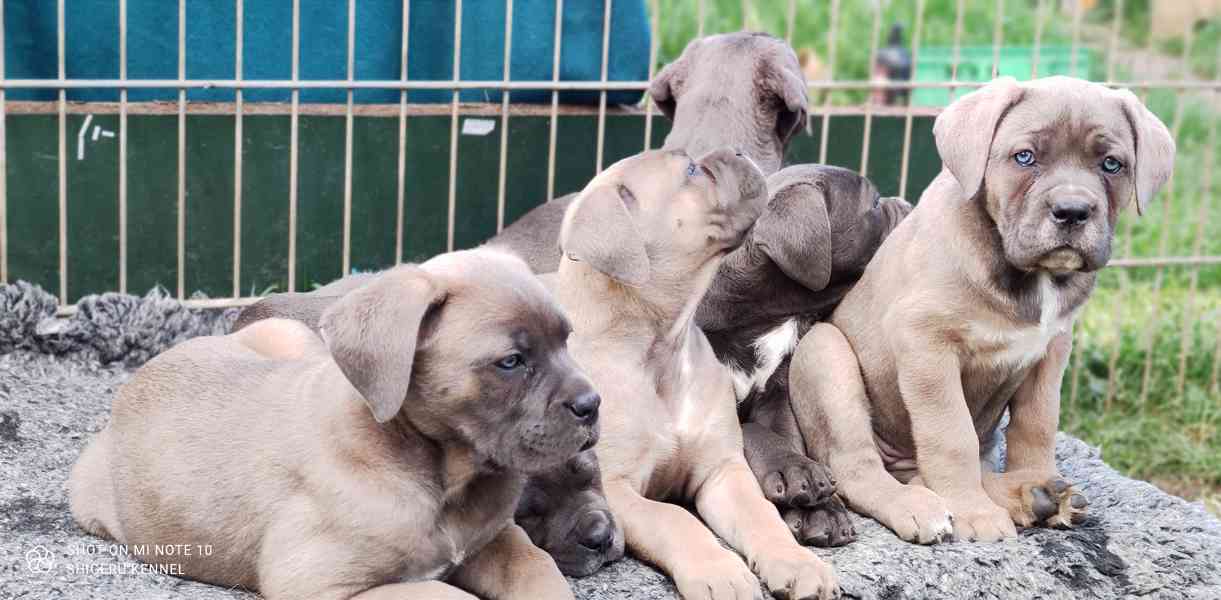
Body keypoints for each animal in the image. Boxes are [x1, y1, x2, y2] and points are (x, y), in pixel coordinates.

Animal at [68, 248, 600, 596]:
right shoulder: (321, 582)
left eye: (568, 339)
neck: (441, 477)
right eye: (510, 362)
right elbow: (443, 595)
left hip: (289, 336)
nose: (593, 404)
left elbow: (538, 566)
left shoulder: (497, 540)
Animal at [554, 146, 840, 600]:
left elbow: (762, 515)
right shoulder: (614, 488)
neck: (662, 352)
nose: (738, 151)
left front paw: (797, 562)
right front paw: (719, 572)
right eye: (691, 171)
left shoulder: (723, 471)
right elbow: (676, 520)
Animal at [786, 75, 1177, 545]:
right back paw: (923, 506)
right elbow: (951, 436)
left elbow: (1037, 423)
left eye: (1112, 164)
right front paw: (973, 511)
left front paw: (1035, 477)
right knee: (858, 468)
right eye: (1024, 157)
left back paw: (1032, 495)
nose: (1072, 211)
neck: (1029, 276)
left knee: (926, 471)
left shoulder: (1051, 352)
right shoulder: (925, 342)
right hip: (825, 354)